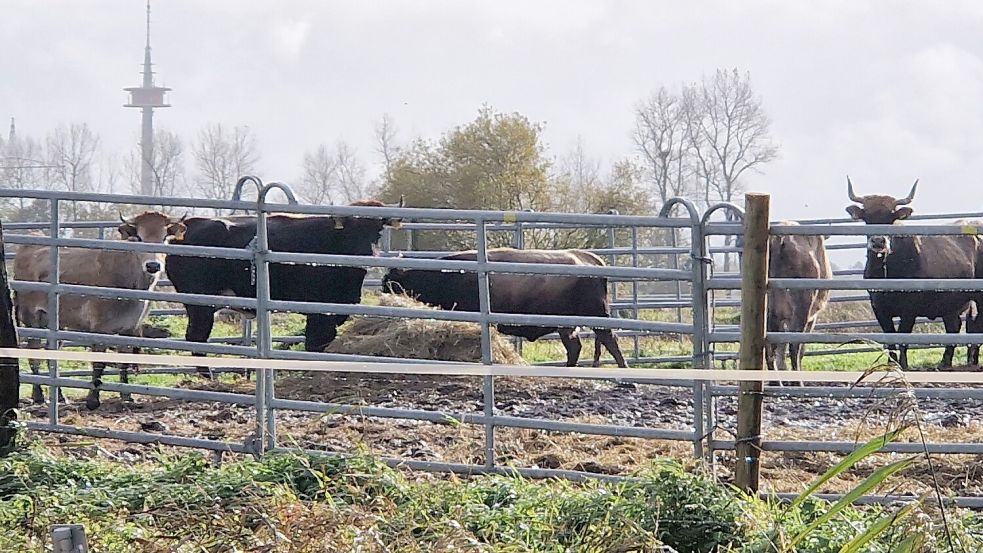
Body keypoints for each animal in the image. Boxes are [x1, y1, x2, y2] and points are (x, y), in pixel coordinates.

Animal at [13, 209, 186, 408]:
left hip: (56, 323)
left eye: (164, 237)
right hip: (32, 318)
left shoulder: (130, 329)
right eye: (139, 237)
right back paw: (38, 395)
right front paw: (92, 400)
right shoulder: (100, 329)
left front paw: (127, 397)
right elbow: (99, 364)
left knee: (51, 355)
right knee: (33, 355)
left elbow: (124, 362)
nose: (152, 265)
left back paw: (60, 396)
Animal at [163, 198, 402, 376]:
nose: (367, 253)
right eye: (351, 230)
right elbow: (315, 342)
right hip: (200, 305)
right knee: (196, 337)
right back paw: (208, 375)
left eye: (377, 232)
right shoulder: (318, 311)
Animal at [380, 248, 628, 368]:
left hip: (597, 317)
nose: (382, 292)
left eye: (392, 282)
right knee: (575, 348)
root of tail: (592, 259)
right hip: (566, 326)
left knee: (611, 342)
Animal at [844, 175, 983, 368]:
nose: (879, 242)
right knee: (955, 327)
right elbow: (890, 339)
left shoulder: (909, 310)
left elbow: (903, 337)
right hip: (951, 304)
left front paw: (903, 364)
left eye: (891, 217)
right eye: (867, 217)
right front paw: (892, 364)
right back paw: (947, 362)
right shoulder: (879, 308)